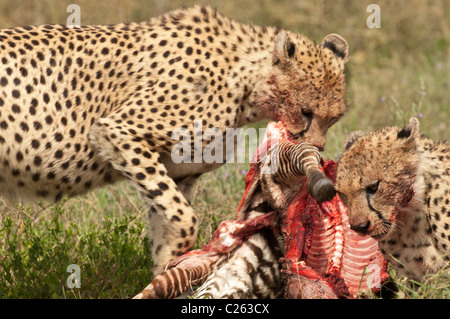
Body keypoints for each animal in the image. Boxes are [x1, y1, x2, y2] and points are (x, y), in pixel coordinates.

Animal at [0, 5, 350, 276]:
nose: (318, 149)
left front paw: (163, 272)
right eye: (306, 112)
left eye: (333, 119)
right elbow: (185, 219)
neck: (246, 80)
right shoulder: (117, 131)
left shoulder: (179, 172)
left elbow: (166, 220)